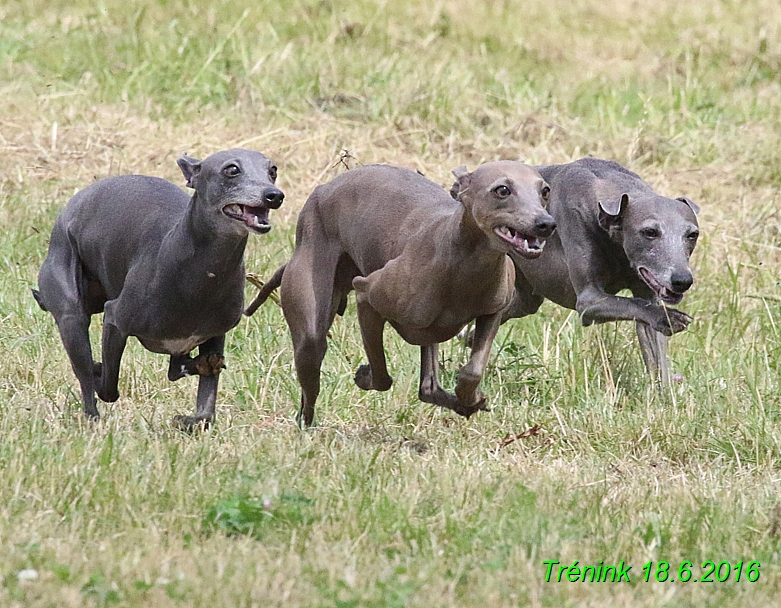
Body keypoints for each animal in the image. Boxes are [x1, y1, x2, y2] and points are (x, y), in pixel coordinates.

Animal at [34, 149, 284, 430]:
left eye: (272, 170)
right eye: (231, 169)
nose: (274, 195)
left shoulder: (215, 334)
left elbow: (204, 413)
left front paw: (189, 414)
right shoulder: (115, 319)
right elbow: (108, 388)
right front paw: (99, 373)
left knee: (174, 369)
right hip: (71, 315)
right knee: (86, 375)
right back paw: (93, 412)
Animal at [244, 163, 556, 428]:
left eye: (545, 191)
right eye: (502, 190)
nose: (546, 224)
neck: (463, 263)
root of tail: (323, 188)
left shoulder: (494, 311)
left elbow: (472, 371)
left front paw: (470, 399)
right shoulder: (366, 296)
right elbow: (381, 375)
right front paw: (364, 376)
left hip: (428, 332)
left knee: (428, 387)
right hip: (311, 329)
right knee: (310, 379)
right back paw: (305, 425)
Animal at [502, 158, 696, 384]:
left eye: (693, 234)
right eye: (649, 232)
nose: (682, 280)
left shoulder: (647, 293)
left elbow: (657, 358)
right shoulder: (588, 300)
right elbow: (631, 304)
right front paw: (670, 317)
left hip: (523, 298)